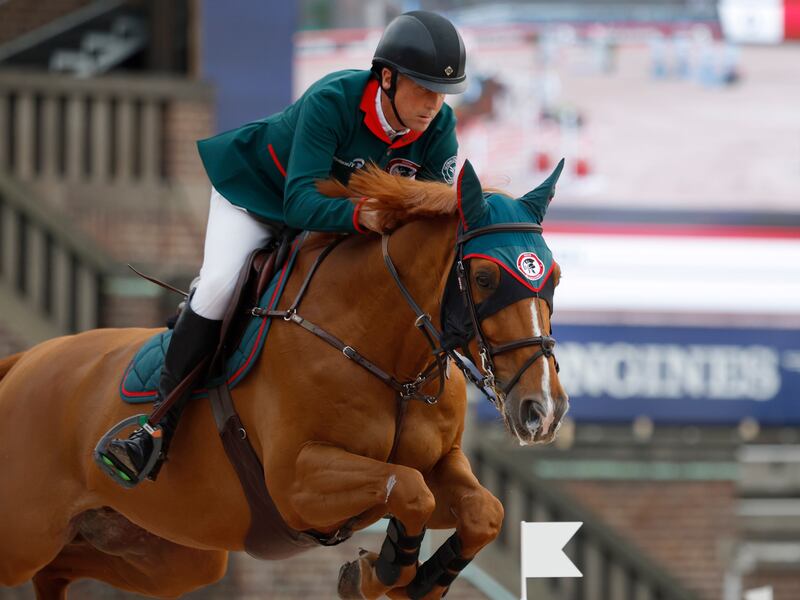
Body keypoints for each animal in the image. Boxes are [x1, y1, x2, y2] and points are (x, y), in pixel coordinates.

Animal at [0, 162, 568, 596]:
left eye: (554, 277)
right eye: (485, 278)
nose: (543, 409)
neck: (393, 365)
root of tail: (25, 361)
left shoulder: (440, 463)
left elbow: (483, 511)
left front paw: (406, 579)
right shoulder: (297, 482)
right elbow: (408, 490)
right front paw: (380, 575)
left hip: (174, 554)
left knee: (60, 568)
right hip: (26, 532)